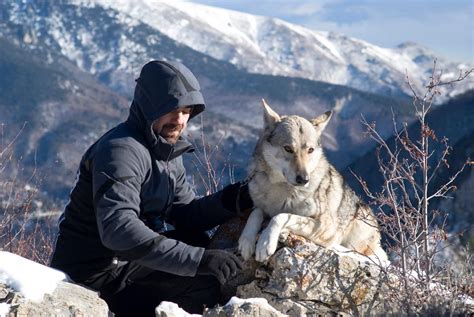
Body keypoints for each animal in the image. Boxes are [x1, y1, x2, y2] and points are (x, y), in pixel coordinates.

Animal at [239, 99, 386, 262]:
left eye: (310, 150)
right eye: (288, 148)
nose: (304, 179)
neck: (283, 189)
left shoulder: (324, 226)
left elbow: (281, 216)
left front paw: (265, 243)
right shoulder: (260, 207)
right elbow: (255, 214)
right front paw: (246, 241)